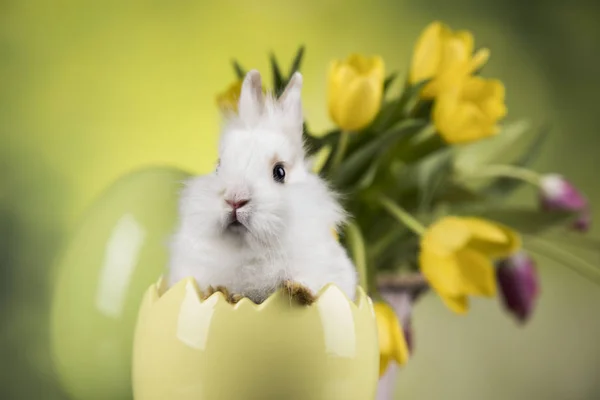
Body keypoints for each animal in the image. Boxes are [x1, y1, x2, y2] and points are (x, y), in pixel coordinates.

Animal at [166, 69, 356, 304]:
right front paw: (218, 291)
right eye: (218, 166)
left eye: (280, 172)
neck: (249, 252)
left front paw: (300, 291)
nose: (235, 199)